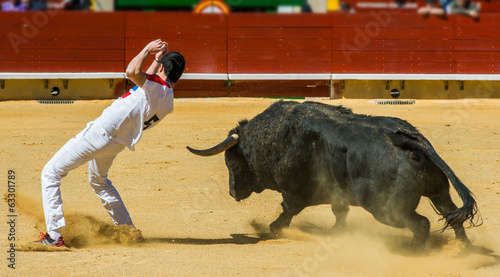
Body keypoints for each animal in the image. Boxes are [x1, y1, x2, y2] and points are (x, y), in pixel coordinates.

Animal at [188, 100, 480, 243]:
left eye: (233, 163)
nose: (232, 192)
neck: (274, 137)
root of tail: (405, 139)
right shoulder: (337, 194)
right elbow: (340, 212)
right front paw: (337, 232)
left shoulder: (293, 191)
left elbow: (288, 210)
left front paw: (273, 228)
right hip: (439, 191)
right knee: (452, 216)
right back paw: (463, 250)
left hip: (387, 209)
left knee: (421, 224)